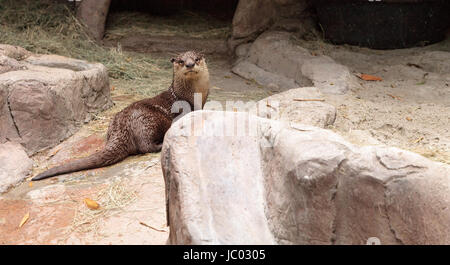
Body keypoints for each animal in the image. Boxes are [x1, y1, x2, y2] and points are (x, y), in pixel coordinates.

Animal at [32, 50, 210, 179]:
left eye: (196, 59)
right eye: (181, 61)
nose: (189, 64)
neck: (188, 95)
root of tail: (121, 127)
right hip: (148, 122)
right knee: (145, 146)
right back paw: (160, 145)